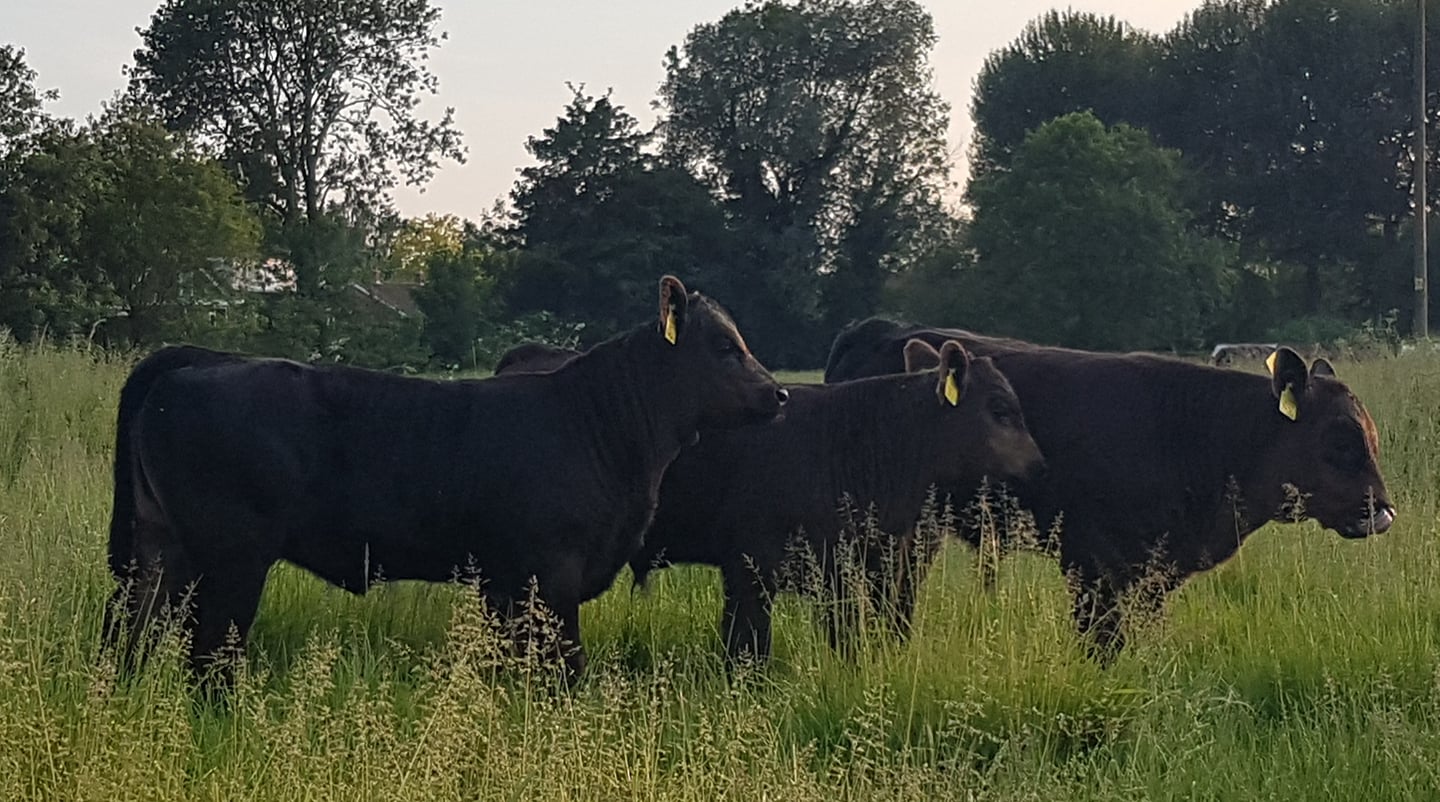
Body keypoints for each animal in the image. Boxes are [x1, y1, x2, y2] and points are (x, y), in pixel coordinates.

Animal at [105, 275, 787, 682]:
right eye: (725, 348)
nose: (779, 394)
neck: (599, 426)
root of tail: (199, 359)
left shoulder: (505, 581)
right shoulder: (552, 572)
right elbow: (564, 670)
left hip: (155, 549)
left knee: (130, 633)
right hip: (230, 556)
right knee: (208, 651)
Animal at [824, 318, 1395, 662]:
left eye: (1372, 437)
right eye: (1339, 439)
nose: (1381, 511)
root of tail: (884, 329)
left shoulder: (1152, 573)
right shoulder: (1090, 563)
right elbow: (1102, 643)